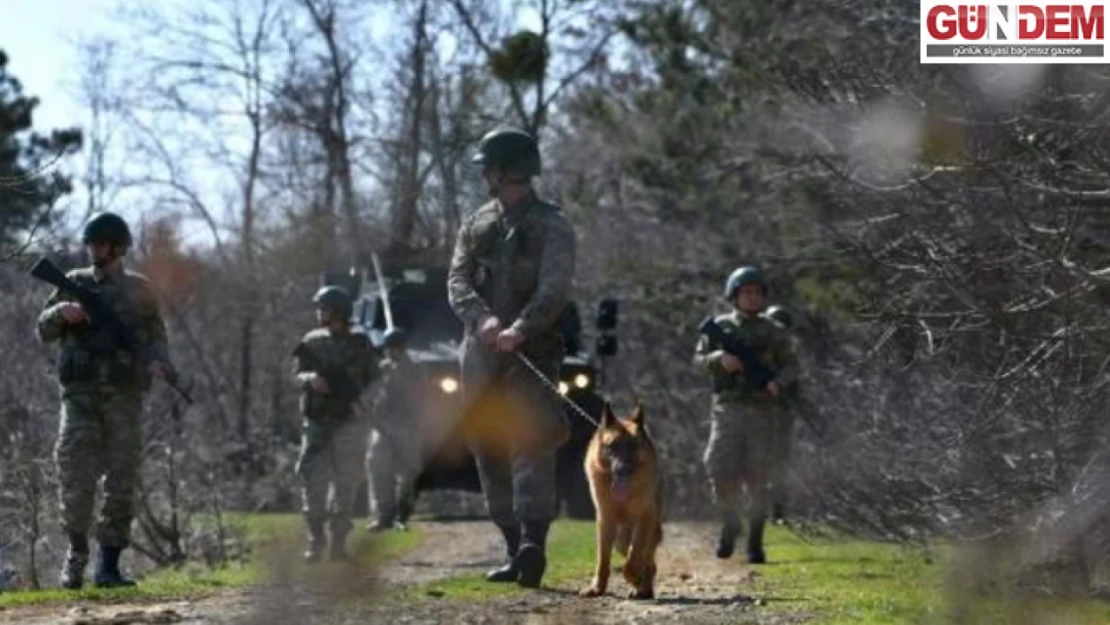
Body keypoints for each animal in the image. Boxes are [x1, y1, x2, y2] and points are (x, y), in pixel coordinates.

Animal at [577, 404, 661, 599]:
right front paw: (597, 588)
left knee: (648, 562)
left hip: (643, 532)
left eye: (633, 446)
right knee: (646, 562)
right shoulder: (605, 521)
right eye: (612, 446)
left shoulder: (644, 519)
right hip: (620, 541)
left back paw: (642, 587)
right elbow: (602, 560)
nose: (623, 469)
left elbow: (633, 559)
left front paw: (634, 577)